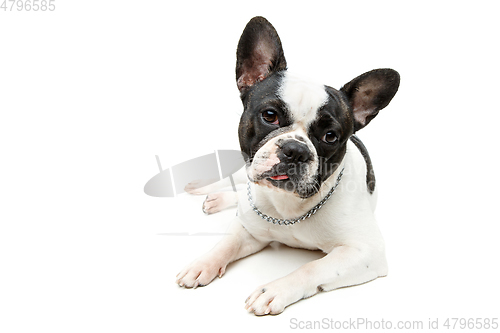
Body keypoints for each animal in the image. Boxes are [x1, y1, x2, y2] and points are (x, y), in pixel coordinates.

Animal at [176, 16, 398, 316]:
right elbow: (227, 242)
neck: (288, 208)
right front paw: (203, 263)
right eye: (270, 115)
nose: (296, 150)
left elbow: (311, 268)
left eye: (331, 136)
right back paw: (205, 190)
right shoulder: (249, 230)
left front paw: (275, 290)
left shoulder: (365, 251)